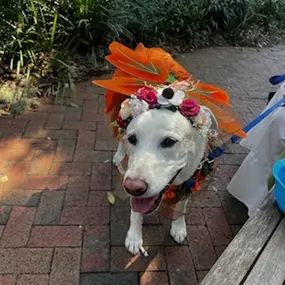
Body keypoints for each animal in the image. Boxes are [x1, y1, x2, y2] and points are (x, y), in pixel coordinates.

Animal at [113, 105, 215, 254]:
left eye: (169, 142)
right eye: (132, 139)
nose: (132, 188)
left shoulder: (189, 180)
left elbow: (181, 205)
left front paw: (178, 227)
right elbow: (136, 212)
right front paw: (134, 237)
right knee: (120, 135)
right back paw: (118, 155)